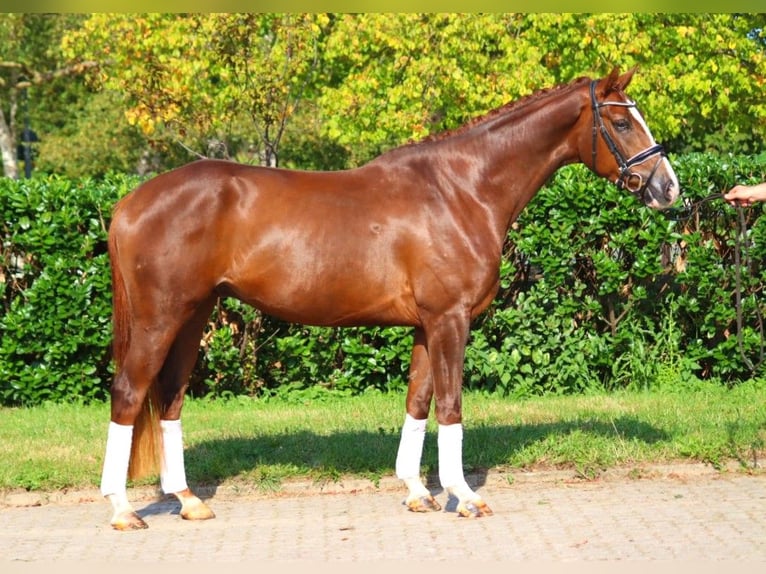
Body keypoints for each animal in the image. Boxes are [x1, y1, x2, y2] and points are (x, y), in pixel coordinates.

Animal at [100, 68, 680, 532]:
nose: (668, 188)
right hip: (159, 319)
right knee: (129, 394)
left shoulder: (426, 325)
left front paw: (419, 492)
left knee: (170, 398)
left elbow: (418, 401)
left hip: (192, 317)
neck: (460, 190)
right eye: (622, 123)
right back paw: (123, 510)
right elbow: (450, 405)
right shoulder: (450, 320)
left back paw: (187, 500)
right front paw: (464, 496)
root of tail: (131, 202)